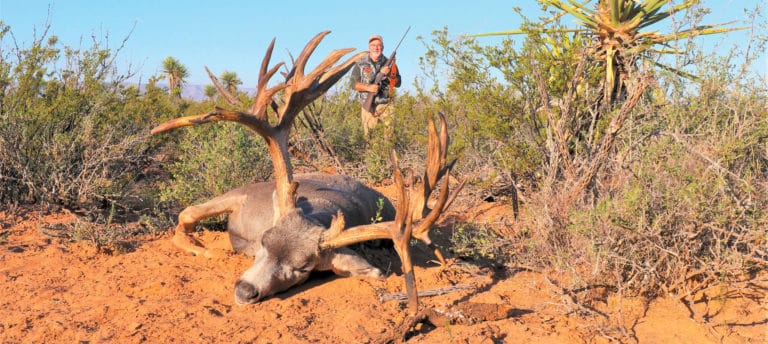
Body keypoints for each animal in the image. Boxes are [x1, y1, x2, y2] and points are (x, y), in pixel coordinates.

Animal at [153, 31, 460, 312]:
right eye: (265, 241)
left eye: (303, 268)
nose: (245, 290)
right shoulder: (245, 195)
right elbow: (188, 214)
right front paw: (207, 249)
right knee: (187, 213)